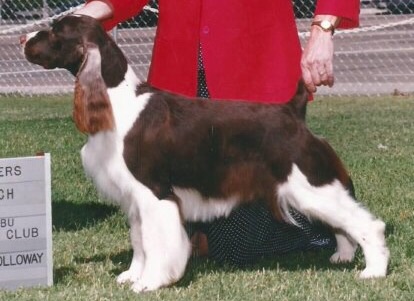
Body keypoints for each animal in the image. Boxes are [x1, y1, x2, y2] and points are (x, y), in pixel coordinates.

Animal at [21, 15, 390, 290]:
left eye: (55, 31)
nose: (23, 38)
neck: (115, 103)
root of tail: (293, 110)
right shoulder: (134, 197)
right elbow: (139, 241)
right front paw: (131, 276)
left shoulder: (155, 193)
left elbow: (156, 242)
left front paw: (150, 282)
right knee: (342, 223)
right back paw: (343, 256)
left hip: (309, 183)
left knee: (366, 223)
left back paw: (373, 270)